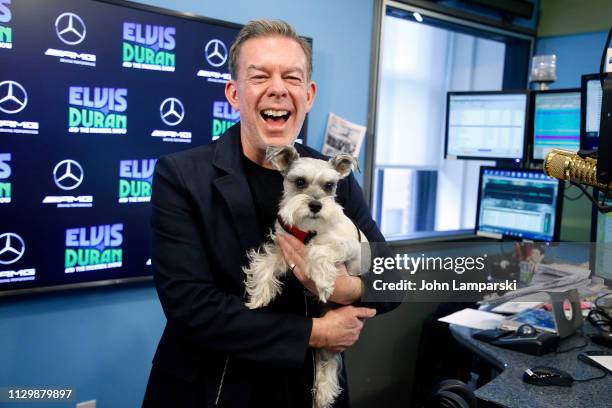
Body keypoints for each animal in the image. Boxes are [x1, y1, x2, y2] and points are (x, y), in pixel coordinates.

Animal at [243, 145, 368, 408]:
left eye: (330, 185)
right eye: (300, 181)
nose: (316, 205)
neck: (310, 230)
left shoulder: (349, 248)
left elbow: (320, 251)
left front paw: (323, 282)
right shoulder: (284, 250)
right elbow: (265, 264)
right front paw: (258, 295)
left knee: (329, 361)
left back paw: (324, 393)